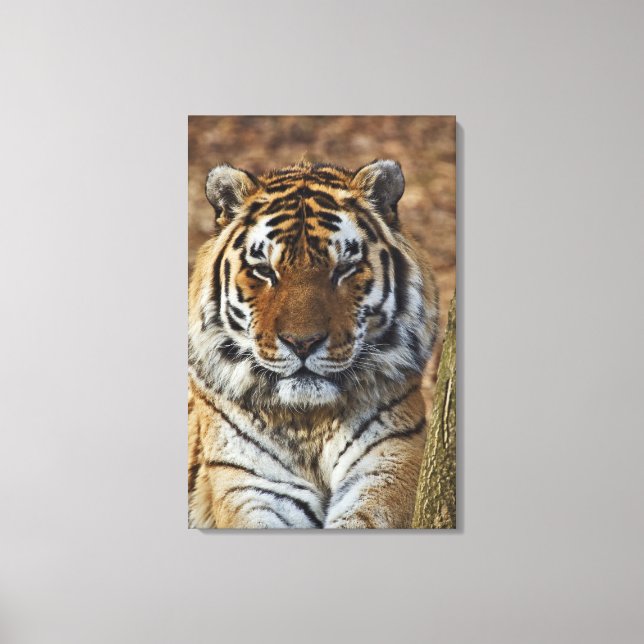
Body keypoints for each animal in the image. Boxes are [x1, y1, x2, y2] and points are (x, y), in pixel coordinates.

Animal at [188, 159, 439, 528]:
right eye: (264, 270)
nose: (302, 343)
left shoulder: (388, 464)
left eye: (344, 268)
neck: (309, 422)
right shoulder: (253, 484)